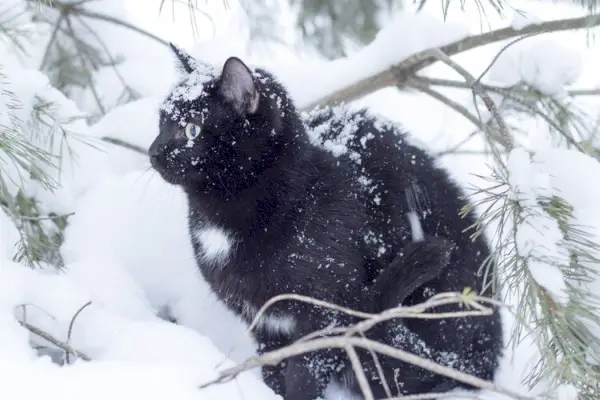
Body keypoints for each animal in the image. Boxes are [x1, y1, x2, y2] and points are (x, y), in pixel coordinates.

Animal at [149, 44, 502, 400]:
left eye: (191, 129)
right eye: (161, 122)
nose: (153, 152)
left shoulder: (327, 316)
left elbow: (305, 372)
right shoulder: (266, 325)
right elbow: (274, 368)